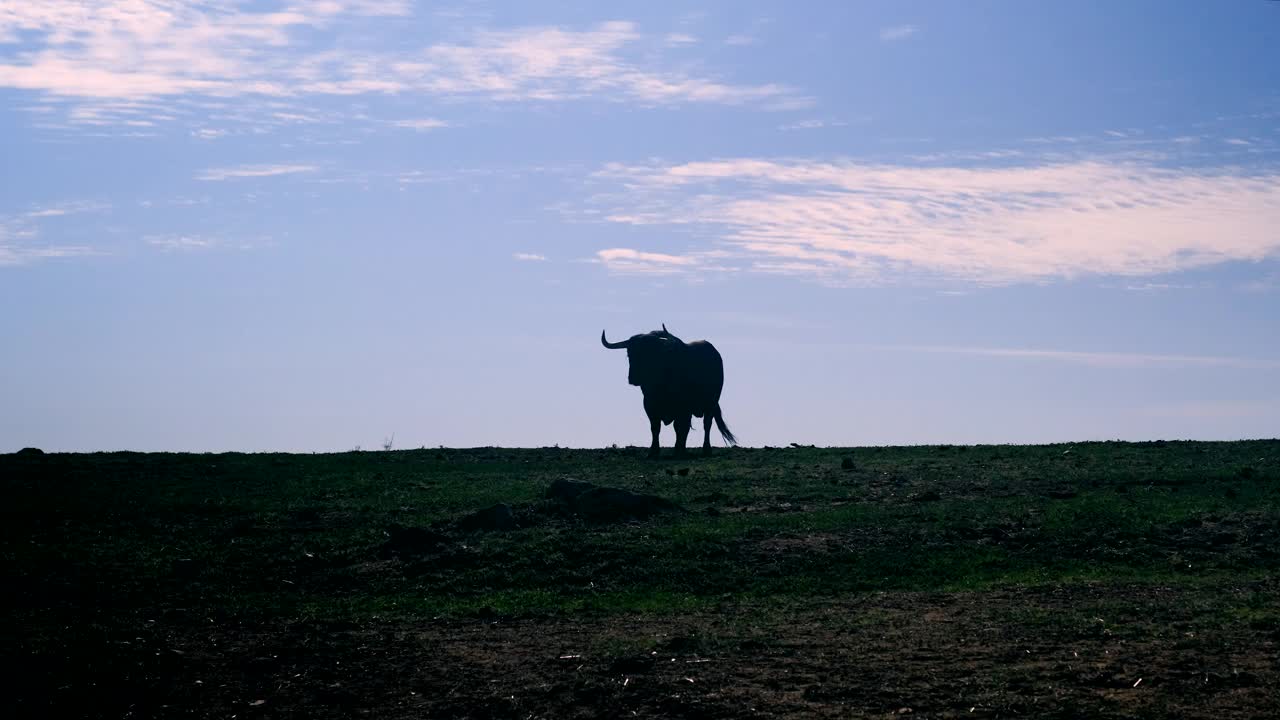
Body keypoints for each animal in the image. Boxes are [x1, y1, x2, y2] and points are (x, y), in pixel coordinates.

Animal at [601, 324, 742, 456]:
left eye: (650, 354)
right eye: (629, 354)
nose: (634, 378)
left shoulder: (683, 408)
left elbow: (680, 428)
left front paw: (679, 450)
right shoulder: (649, 406)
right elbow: (655, 428)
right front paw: (653, 451)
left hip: (711, 403)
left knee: (706, 424)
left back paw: (706, 449)